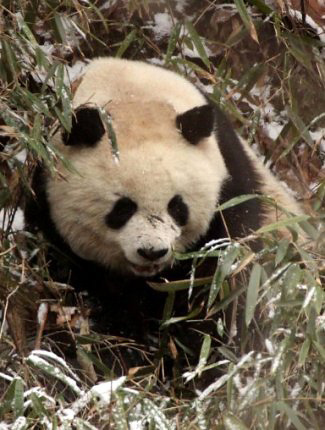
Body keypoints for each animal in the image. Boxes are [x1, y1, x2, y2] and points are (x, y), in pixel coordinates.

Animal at [25, 58, 302, 376]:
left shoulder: (232, 191)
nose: (151, 251)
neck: (134, 95)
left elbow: (226, 285)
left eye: (177, 206)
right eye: (123, 208)